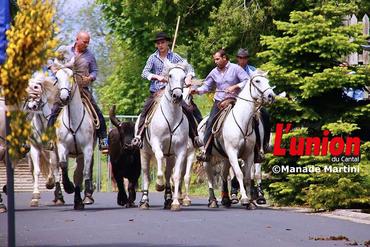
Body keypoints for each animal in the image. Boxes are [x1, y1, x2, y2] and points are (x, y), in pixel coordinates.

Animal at [26, 73, 66, 206]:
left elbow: (54, 168)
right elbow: (37, 171)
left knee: (53, 167)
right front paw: (35, 196)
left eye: (36, 87)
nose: (31, 106)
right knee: (35, 170)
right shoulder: (34, 148)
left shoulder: (53, 149)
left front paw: (50, 183)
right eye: (27, 89)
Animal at [54, 68, 96, 210]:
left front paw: (87, 194)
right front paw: (68, 187)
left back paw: (79, 201)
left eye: (72, 76)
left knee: (78, 174)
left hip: (80, 155)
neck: (73, 121)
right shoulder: (62, 147)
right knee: (58, 171)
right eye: (56, 78)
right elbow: (63, 165)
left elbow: (85, 172)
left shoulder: (87, 149)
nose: (64, 97)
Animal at [138, 61, 191, 210]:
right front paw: (159, 184)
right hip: (144, 153)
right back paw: (144, 201)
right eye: (170, 75)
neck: (171, 118)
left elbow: (177, 176)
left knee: (168, 174)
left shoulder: (180, 150)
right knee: (146, 176)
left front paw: (175, 203)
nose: (177, 96)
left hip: (171, 156)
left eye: (184, 77)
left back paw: (168, 199)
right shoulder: (157, 144)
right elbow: (160, 158)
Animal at [197, 69, 274, 208]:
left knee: (223, 175)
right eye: (257, 81)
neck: (242, 121)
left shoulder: (249, 154)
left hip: (225, 157)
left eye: (268, 80)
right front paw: (244, 199)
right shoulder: (233, 153)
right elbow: (239, 174)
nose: (271, 96)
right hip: (208, 156)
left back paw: (226, 199)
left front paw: (251, 202)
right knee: (211, 177)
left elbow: (248, 176)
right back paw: (213, 200)